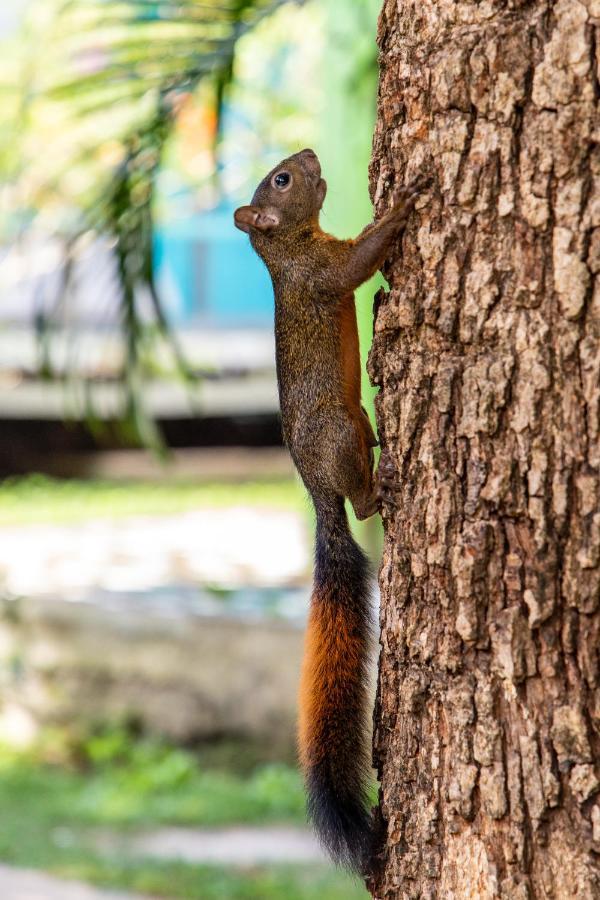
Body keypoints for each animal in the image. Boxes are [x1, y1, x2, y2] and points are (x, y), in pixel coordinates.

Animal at [234, 149, 426, 872]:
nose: (309, 155)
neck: (288, 246)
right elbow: (357, 265)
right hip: (339, 434)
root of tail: (319, 493)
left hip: (357, 418)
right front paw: (400, 209)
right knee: (362, 504)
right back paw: (380, 486)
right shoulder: (322, 275)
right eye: (282, 181)